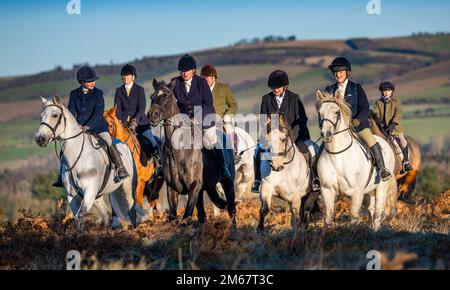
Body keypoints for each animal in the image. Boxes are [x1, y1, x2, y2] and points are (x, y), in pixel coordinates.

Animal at [35, 96, 144, 228]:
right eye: (41, 116)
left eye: (55, 115)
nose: (40, 139)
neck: (77, 157)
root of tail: (124, 144)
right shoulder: (72, 195)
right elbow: (78, 218)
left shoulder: (89, 191)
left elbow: (82, 214)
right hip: (98, 196)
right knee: (106, 214)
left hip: (127, 187)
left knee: (131, 209)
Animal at [149, 80, 239, 227]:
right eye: (152, 96)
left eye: (167, 96)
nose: (152, 115)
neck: (178, 150)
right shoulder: (172, 188)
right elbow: (174, 217)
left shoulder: (195, 185)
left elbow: (186, 217)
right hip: (206, 188)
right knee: (202, 215)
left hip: (228, 181)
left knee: (231, 208)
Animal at [314, 90, 396, 231]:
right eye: (320, 113)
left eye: (337, 112)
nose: (326, 134)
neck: (337, 156)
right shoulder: (327, 189)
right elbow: (329, 219)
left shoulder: (356, 192)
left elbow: (353, 217)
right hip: (369, 192)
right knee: (372, 212)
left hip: (381, 187)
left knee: (378, 214)